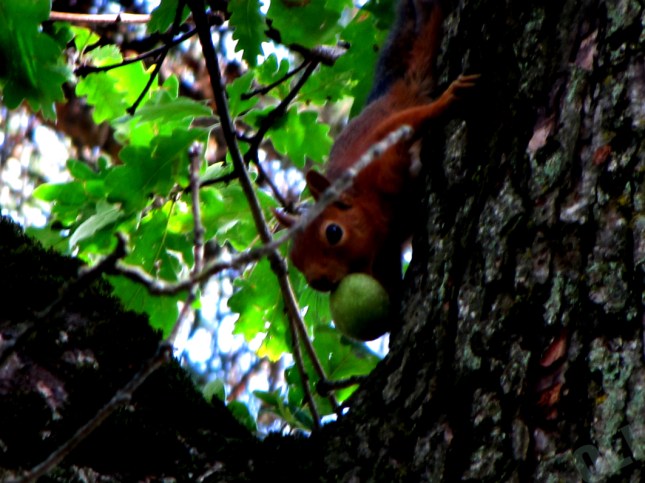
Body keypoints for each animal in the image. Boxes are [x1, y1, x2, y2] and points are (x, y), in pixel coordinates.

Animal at [275, 0, 478, 331]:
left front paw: (448, 99)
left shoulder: (380, 151)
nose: (319, 281)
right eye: (294, 259)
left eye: (333, 232)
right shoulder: (385, 254)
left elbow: (411, 122)